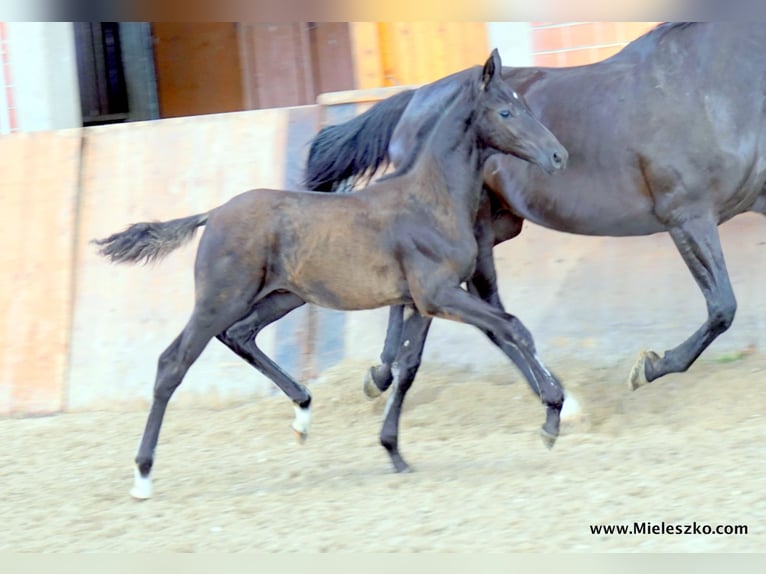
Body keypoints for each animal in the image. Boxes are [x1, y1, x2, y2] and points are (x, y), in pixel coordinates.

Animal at [93, 50, 568, 500]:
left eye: (524, 104)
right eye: (505, 112)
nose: (558, 155)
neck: (430, 200)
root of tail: (214, 213)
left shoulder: (423, 302)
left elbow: (409, 367)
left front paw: (393, 451)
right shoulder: (439, 294)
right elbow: (513, 327)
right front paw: (552, 415)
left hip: (282, 296)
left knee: (240, 334)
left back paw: (303, 413)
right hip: (220, 298)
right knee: (173, 363)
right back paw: (142, 476)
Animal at [304, 21, 766, 396]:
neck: (712, 85)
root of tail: (416, 98)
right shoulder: (688, 215)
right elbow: (722, 307)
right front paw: (649, 367)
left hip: (495, 226)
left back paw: (385, 374)